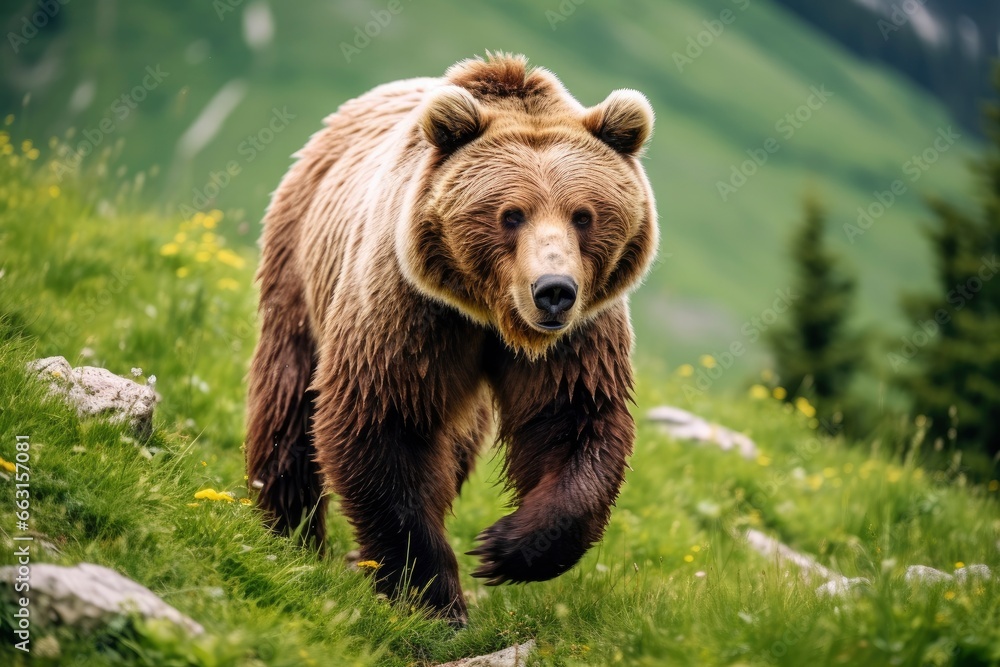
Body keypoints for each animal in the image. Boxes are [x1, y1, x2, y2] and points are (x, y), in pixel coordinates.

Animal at [244, 52, 656, 628]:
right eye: (511, 214)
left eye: (583, 215)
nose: (554, 291)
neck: (490, 316)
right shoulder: (412, 311)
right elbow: (384, 421)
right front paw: (434, 597)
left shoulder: (578, 336)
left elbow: (573, 418)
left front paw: (506, 548)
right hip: (302, 263)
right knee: (288, 396)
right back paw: (287, 529)